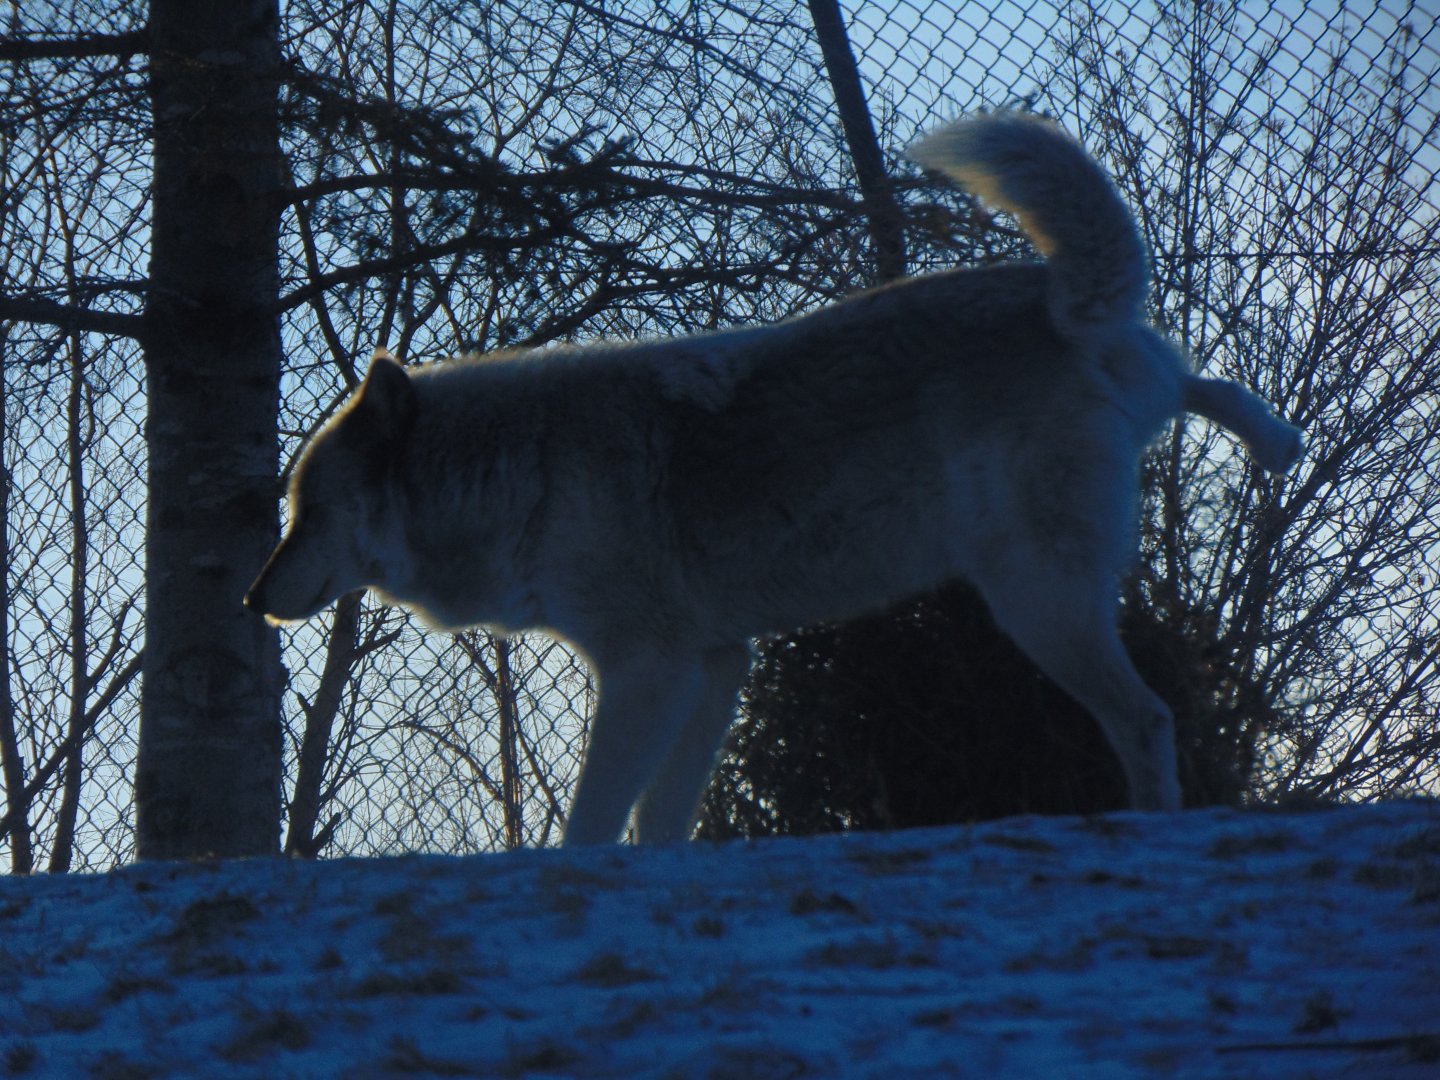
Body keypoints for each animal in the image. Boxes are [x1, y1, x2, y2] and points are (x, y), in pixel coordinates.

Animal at [245, 111, 1302, 846]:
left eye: (304, 512)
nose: (255, 598)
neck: (522, 469)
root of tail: (1059, 302)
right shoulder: (717, 665)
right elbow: (659, 822)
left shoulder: (649, 670)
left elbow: (594, 821)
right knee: (1202, 383)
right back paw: (1277, 443)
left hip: (1035, 601)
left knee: (1148, 717)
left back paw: (1156, 823)